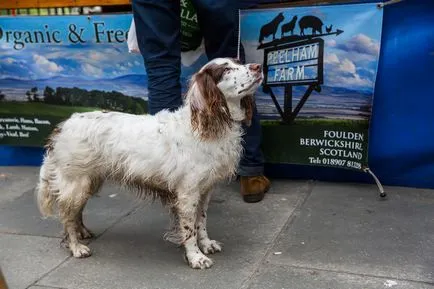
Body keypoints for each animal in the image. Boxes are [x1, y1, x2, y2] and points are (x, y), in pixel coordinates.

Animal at [35, 57, 262, 268]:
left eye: (238, 61)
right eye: (226, 69)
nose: (258, 66)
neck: (208, 126)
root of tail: (63, 126)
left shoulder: (205, 190)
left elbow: (202, 222)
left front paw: (206, 244)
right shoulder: (187, 193)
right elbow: (189, 229)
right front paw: (195, 257)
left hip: (89, 180)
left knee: (76, 211)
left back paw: (82, 232)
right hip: (76, 182)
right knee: (67, 215)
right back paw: (76, 247)